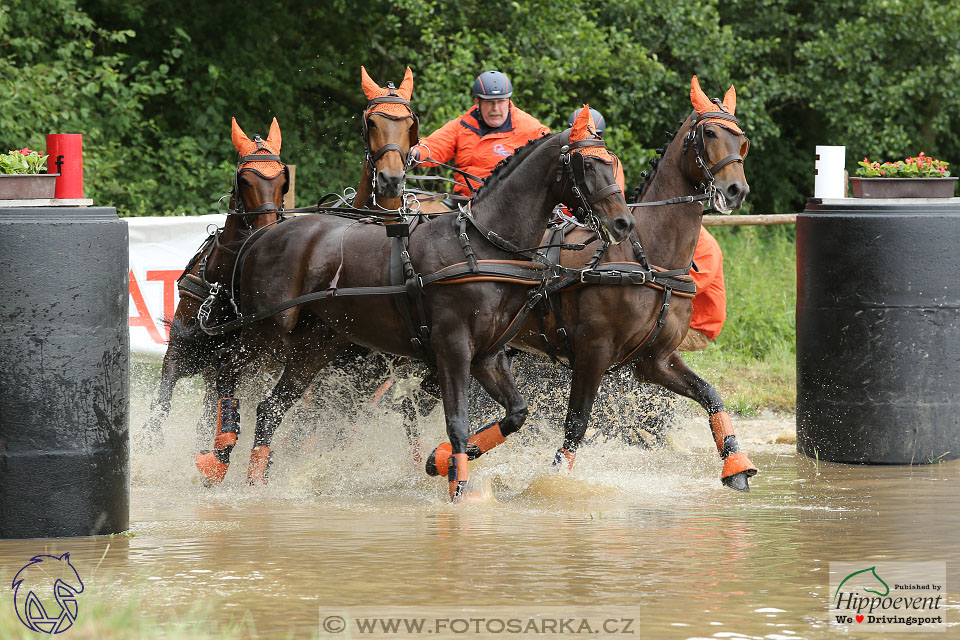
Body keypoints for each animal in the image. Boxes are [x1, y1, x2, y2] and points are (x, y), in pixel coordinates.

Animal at [139, 116, 288, 444]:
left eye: (282, 180)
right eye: (245, 180)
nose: (268, 229)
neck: (221, 283)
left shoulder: (235, 364)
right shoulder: (180, 348)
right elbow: (162, 404)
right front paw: (148, 441)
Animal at [195, 105, 636, 498]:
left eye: (611, 162)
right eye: (586, 165)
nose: (623, 222)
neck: (480, 245)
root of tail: (264, 233)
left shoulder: (488, 355)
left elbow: (516, 415)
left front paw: (441, 460)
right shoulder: (452, 348)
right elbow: (457, 422)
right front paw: (459, 488)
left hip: (316, 343)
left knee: (271, 407)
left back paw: (256, 479)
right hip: (266, 328)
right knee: (228, 367)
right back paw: (217, 454)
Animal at [424, 79, 760, 490]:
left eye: (741, 139)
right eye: (709, 133)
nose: (735, 190)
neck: (646, 257)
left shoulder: (655, 360)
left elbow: (710, 394)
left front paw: (736, 465)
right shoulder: (593, 351)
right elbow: (577, 423)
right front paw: (556, 485)